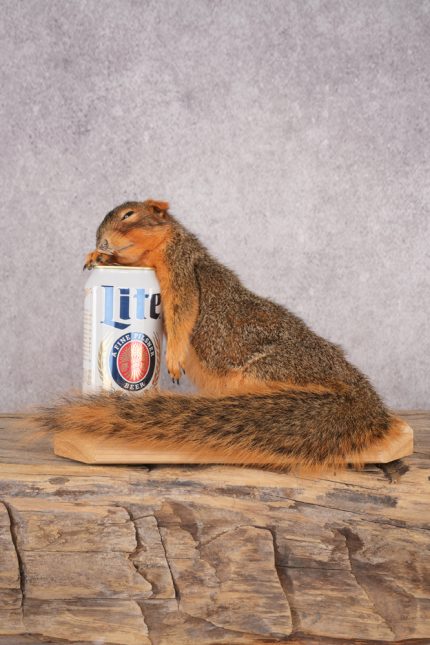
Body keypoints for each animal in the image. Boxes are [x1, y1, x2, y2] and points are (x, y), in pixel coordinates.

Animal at [37, 199, 404, 469]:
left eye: (130, 214)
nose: (102, 240)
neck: (165, 248)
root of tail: (359, 391)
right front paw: (96, 255)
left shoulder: (182, 272)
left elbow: (182, 314)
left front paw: (173, 359)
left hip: (267, 371)